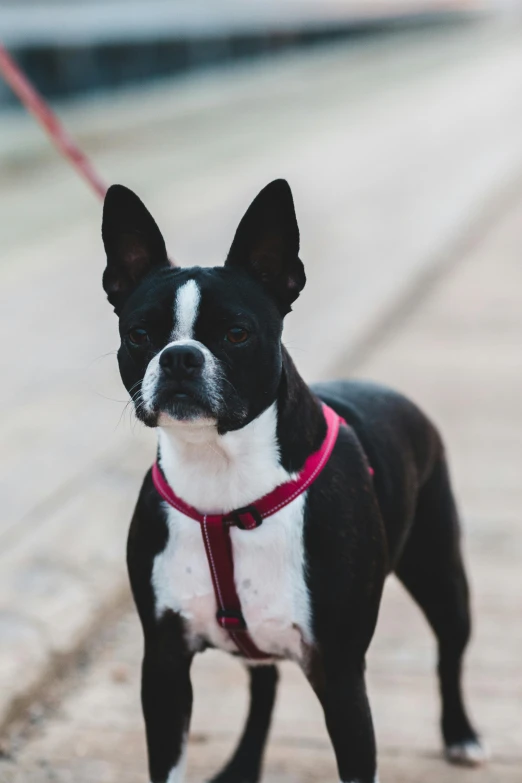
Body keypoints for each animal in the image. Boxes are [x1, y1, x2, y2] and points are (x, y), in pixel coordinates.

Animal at [100, 179, 484, 783]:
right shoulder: (163, 664)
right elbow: (170, 760)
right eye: (139, 335)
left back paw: (461, 734)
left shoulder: (341, 672)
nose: (180, 356)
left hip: (439, 570)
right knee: (265, 685)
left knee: (450, 649)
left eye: (237, 333)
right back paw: (241, 766)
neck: (222, 474)